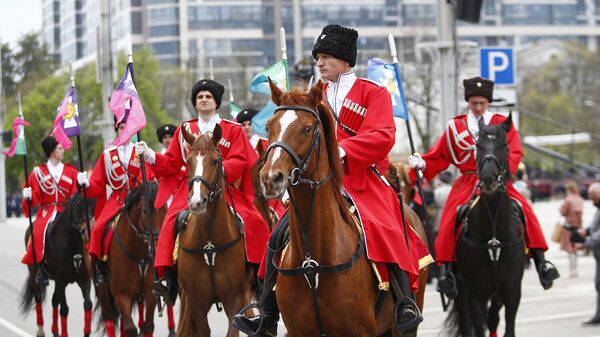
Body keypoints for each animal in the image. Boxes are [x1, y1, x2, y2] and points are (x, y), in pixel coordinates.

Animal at [19, 192, 95, 336]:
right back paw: (40, 331)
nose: (88, 232)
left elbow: (88, 305)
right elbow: (64, 309)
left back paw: (54, 331)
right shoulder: (61, 281)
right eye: (78, 206)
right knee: (39, 298)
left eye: (93, 205)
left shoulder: (84, 279)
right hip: (34, 274)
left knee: (54, 300)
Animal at [95, 182, 169, 334]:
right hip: (104, 290)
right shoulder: (121, 294)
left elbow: (148, 327)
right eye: (145, 211)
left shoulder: (150, 293)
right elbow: (130, 328)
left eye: (165, 208)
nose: (158, 246)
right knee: (110, 321)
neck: (139, 254)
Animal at [177, 124, 254, 336]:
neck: (210, 243)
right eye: (188, 161)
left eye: (214, 160)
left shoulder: (234, 299)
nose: (197, 201)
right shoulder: (196, 302)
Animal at [260, 80, 428, 334]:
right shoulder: (298, 331)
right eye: (269, 127)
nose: (271, 178)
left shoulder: (360, 330)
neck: (313, 263)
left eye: (307, 129)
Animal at [446, 113, 524, 336]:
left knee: (493, 320)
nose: (489, 178)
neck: (494, 237)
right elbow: (477, 327)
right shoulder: (475, 294)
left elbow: (508, 328)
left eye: (504, 144)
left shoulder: (512, 292)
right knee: (468, 325)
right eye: (478, 145)